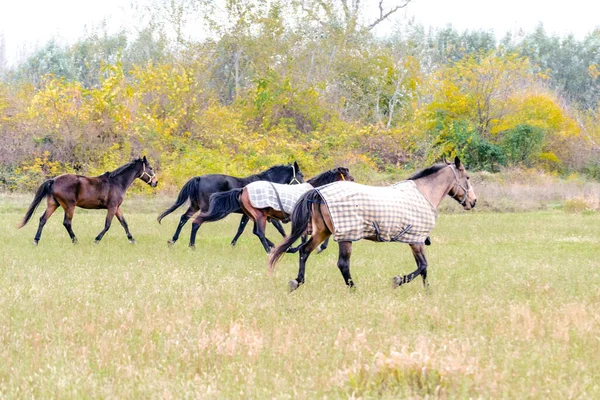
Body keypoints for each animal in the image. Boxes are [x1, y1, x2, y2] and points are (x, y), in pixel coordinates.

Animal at [19, 156, 157, 244]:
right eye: (150, 168)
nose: (155, 182)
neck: (117, 182)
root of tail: (53, 180)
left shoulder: (117, 207)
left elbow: (124, 223)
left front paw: (132, 239)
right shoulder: (112, 207)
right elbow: (107, 225)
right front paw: (96, 240)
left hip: (53, 204)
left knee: (43, 219)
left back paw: (36, 240)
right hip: (69, 206)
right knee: (67, 223)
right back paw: (75, 241)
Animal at [199, 167, 354, 252]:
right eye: (350, 178)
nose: (355, 184)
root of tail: (243, 190)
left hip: (256, 216)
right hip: (259, 216)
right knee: (259, 233)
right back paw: (269, 250)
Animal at [270, 158, 478, 292]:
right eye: (467, 178)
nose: (473, 201)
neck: (423, 194)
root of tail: (318, 192)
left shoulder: (416, 240)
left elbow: (424, 268)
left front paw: (427, 291)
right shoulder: (416, 240)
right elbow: (423, 266)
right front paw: (398, 281)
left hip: (322, 232)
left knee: (304, 251)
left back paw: (297, 282)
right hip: (345, 236)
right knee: (342, 264)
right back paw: (354, 289)